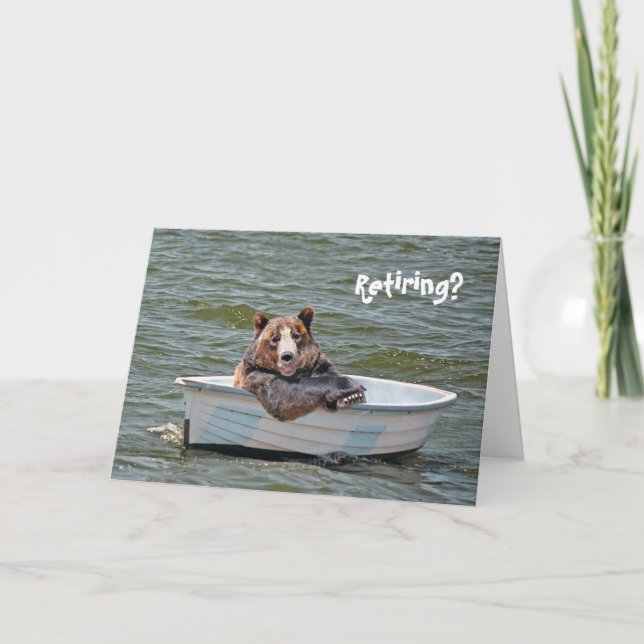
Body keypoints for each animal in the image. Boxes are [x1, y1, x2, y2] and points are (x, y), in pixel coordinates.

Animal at [233, 307, 366, 421]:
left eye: (296, 336)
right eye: (275, 339)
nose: (287, 356)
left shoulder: (316, 363)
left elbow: (328, 371)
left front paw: (352, 397)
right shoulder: (258, 375)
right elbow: (286, 393)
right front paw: (351, 384)